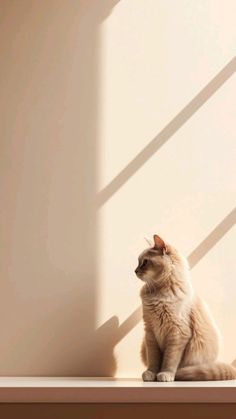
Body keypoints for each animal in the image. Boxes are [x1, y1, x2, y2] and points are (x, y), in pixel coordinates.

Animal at [135, 235, 236, 382]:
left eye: (145, 262)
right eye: (138, 262)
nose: (135, 270)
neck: (159, 293)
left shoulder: (178, 334)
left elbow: (170, 360)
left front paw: (166, 374)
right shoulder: (150, 332)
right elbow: (153, 360)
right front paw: (151, 373)